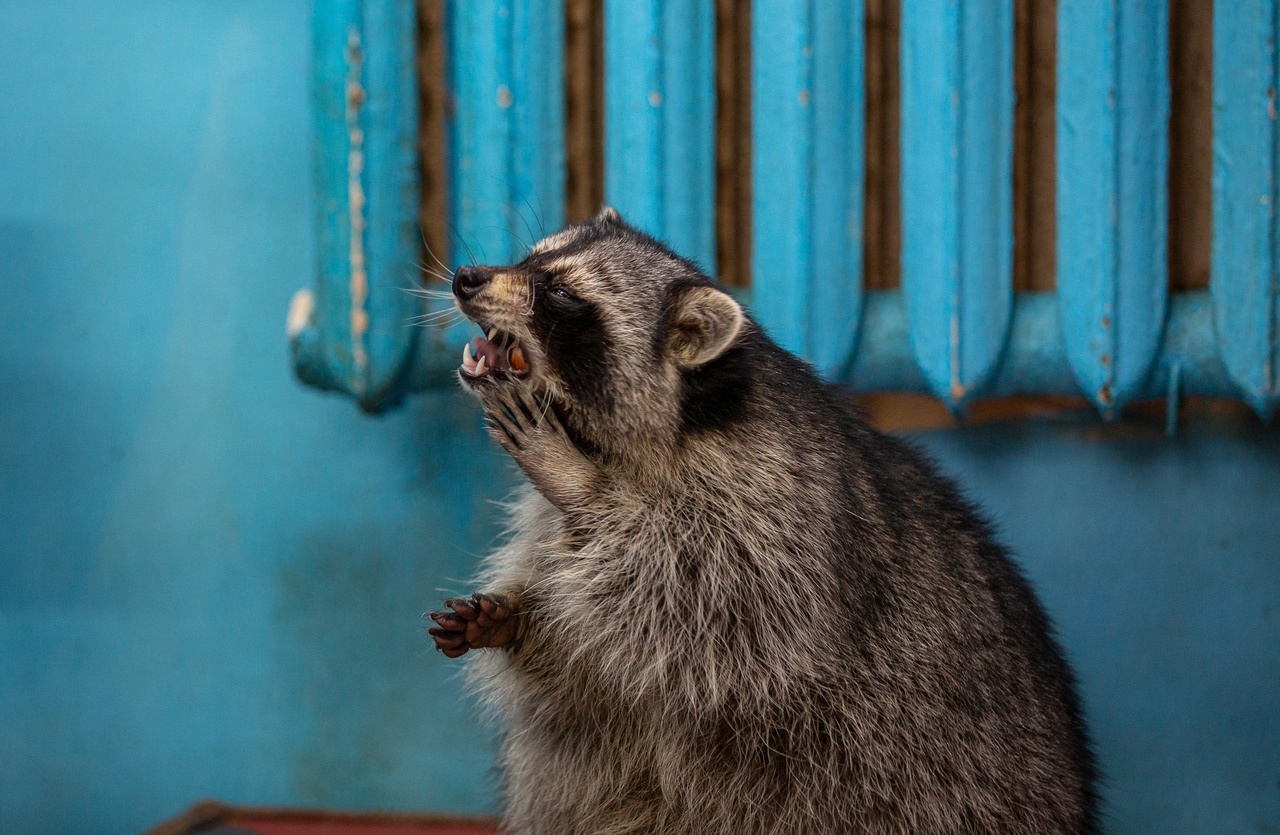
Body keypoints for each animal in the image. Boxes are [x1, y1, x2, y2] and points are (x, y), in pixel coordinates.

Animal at [430, 210, 1100, 835]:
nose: (467, 277)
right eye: (531, 258)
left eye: (562, 294)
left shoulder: (774, 518)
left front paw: (578, 484)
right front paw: (517, 616)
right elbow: (589, 666)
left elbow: (693, 607)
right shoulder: (552, 526)